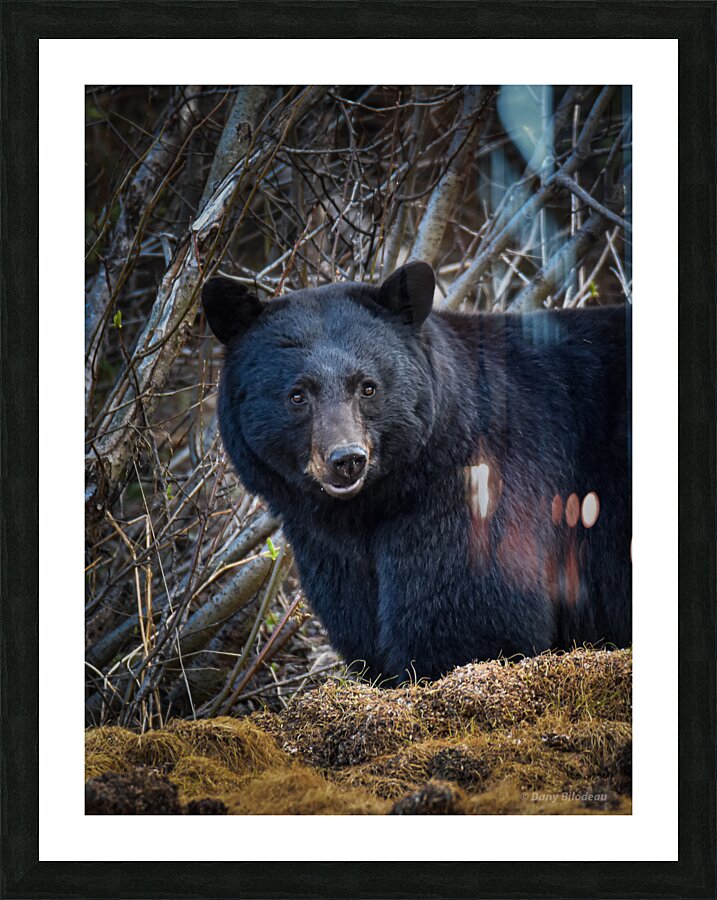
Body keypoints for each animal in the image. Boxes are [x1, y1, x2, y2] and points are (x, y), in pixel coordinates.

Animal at [202, 261, 631, 684]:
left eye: (368, 387)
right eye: (297, 395)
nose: (347, 458)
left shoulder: (478, 489)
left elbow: (472, 615)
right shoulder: (326, 547)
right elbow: (357, 618)